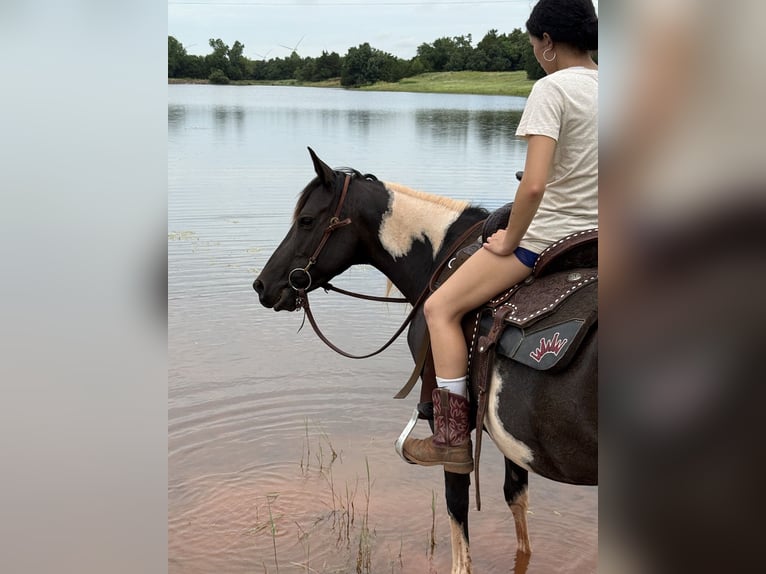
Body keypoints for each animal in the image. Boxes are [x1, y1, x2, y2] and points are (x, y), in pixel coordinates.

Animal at [253, 148, 597, 574]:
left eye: (306, 219)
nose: (262, 285)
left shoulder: (448, 422)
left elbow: (456, 506)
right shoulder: (510, 440)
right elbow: (517, 506)